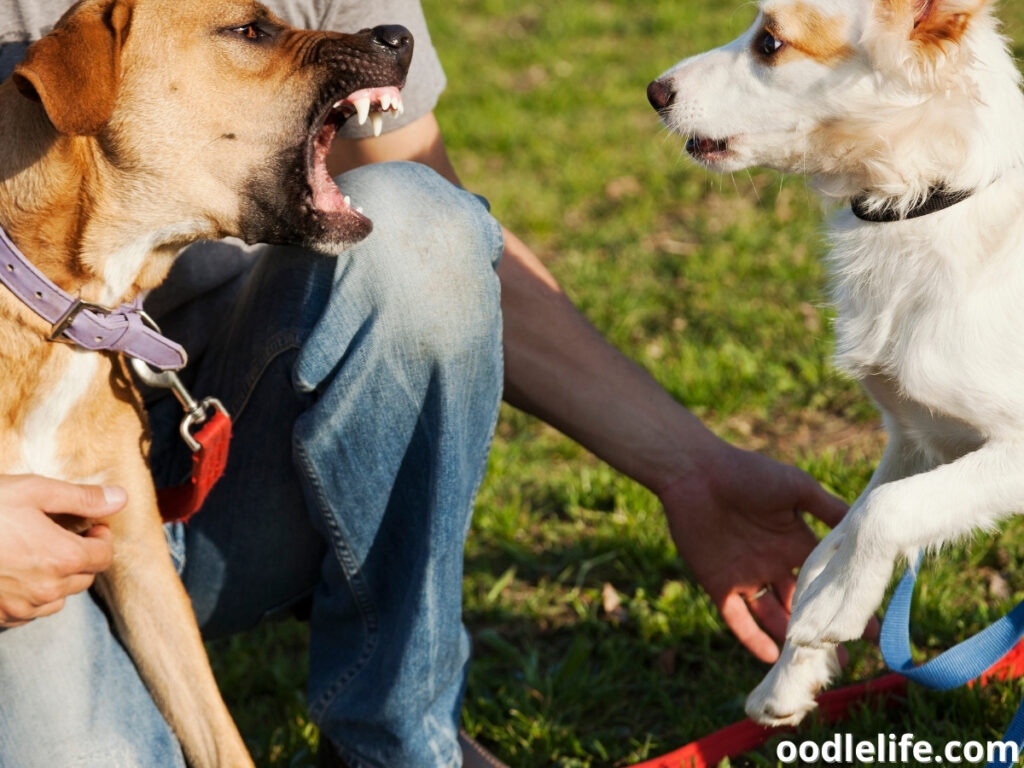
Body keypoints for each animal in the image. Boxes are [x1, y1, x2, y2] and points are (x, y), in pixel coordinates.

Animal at [651, 0, 1024, 729]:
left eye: (770, 43)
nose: (654, 92)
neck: (927, 203)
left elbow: (887, 512)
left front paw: (832, 612)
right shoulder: (917, 437)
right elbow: (846, 528)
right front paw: (794, 665)